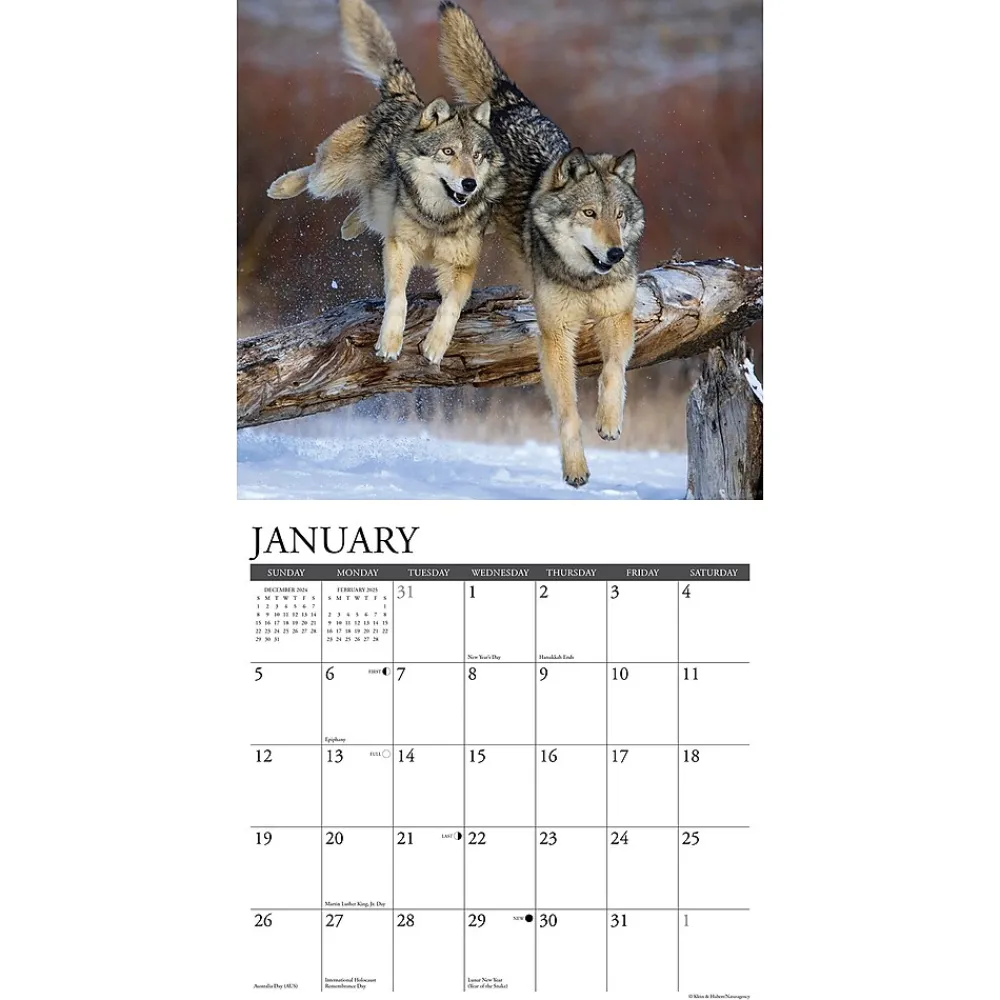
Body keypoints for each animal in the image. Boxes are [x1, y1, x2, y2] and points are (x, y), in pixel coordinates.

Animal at [267, 0, 505, 365]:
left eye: (477, 156)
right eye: (448, 151)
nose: (469, 184)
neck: (436, 218)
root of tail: (404, 96)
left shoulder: (463, 265)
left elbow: (451, 307)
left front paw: (435, 346)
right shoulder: (399, 248)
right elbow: (398, 298)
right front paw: (390, 342)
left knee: (364, 210)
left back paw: (348, 227)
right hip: (329, 178)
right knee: (311, 174)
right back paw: (281, 187)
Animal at [437, 2, 645, 487]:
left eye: (618, 216)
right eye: (589, 214)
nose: (616, 254)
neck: (585, 280)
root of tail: (511, 102)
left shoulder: (618, 314)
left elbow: (614, 369)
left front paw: (609, 421)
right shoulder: (556, 334)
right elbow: (566, 411)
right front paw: (575, 468)